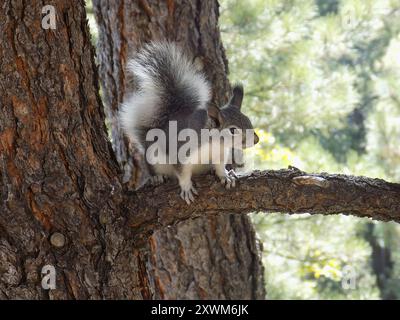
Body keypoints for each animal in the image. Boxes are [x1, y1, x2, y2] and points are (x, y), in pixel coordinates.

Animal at [118, 41, 260, 204]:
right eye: (232, 130)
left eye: (248, 120)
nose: (256, 140)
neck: (214, 143)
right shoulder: (180, 153)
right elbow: (183, 174)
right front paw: (186, 188)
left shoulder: (219, 155)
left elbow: (219, 167)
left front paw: (224, 175)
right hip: (154, 158)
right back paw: (156, 177)